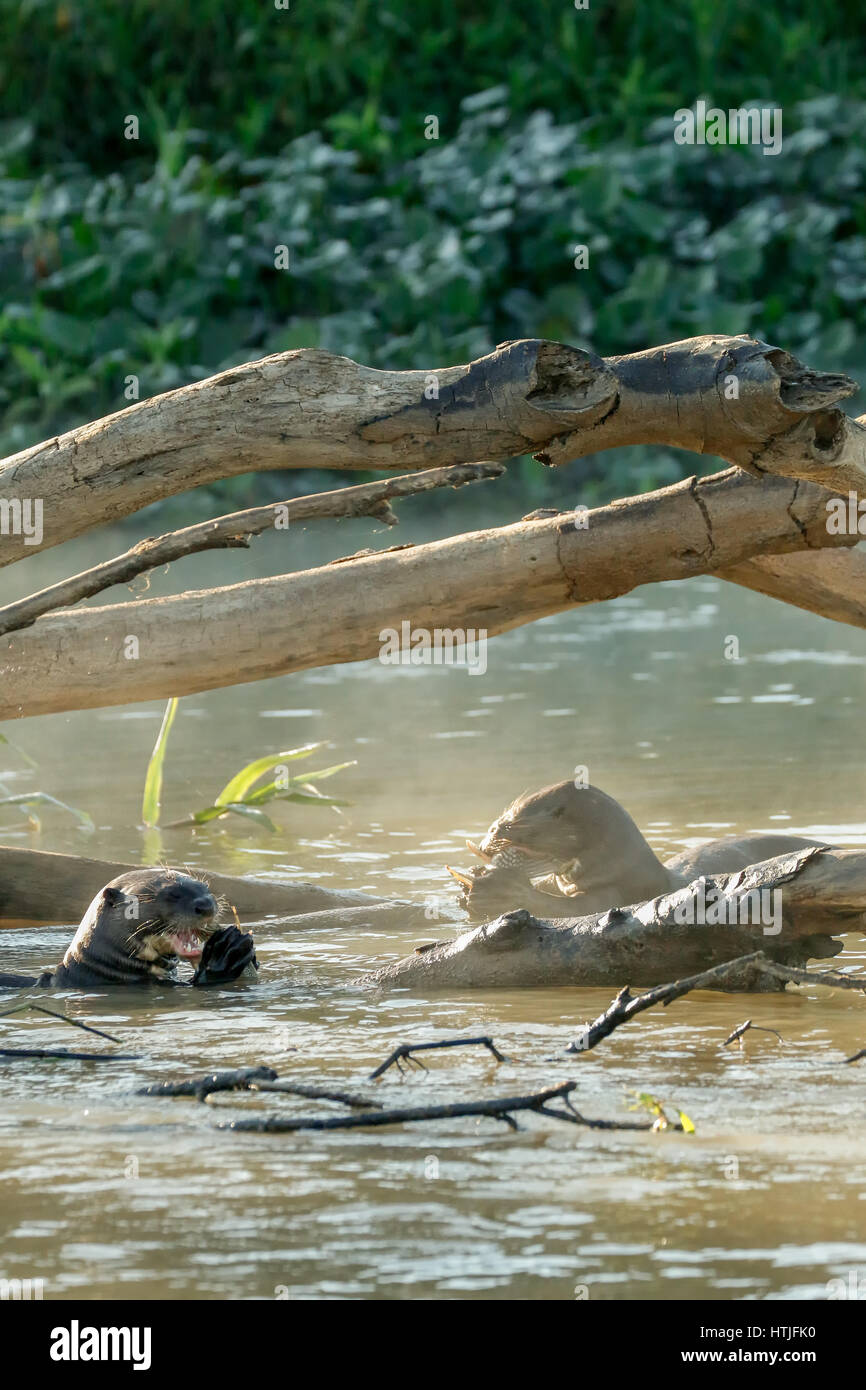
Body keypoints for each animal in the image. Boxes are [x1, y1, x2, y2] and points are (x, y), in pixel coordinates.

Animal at [449, 780, 828, 919]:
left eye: (509, 822)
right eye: (501, 817)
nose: (488, 834)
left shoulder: (619, 892)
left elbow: (567, 909)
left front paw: (494, 889)